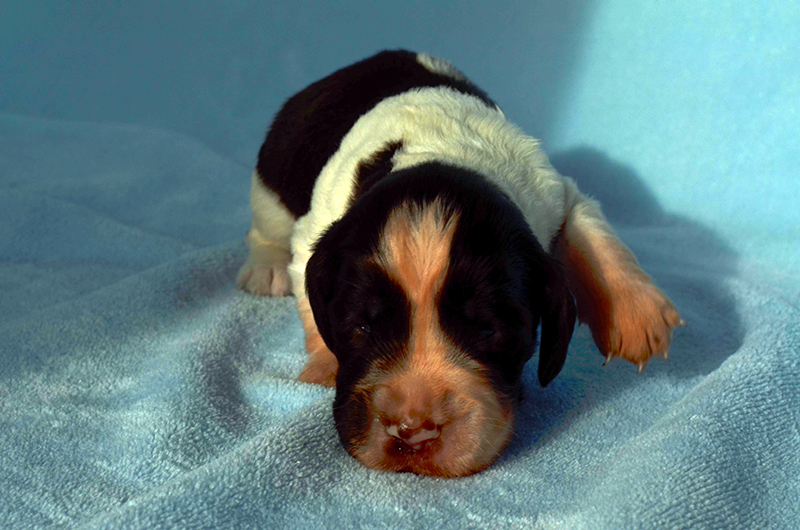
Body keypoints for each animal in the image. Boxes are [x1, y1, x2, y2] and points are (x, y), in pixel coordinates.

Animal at [236, 49, 680, 476]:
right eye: (360, 326)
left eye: (489, 330)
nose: (412, 431)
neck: (442, 153)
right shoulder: (313, 236)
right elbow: (312, 309)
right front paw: (323, 368)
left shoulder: (554, 194)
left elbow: (593, 232)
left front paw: (638, 315)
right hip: (274, 180)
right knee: (266, 230)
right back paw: (265, 270)